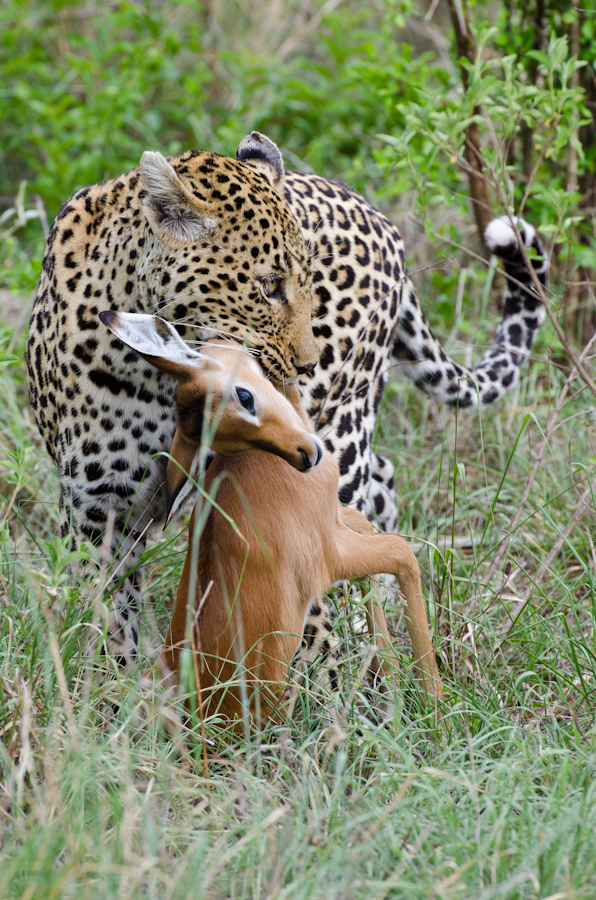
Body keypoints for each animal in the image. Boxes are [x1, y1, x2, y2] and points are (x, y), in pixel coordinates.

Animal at [26, 130, 549, 674]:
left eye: (304, 281)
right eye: (269, 285)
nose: (307, 362)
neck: (153, 374)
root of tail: (379, 218)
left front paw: (330, 685)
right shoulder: (97, 507)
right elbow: (106, 616)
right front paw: (112, 688)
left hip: (342, 428)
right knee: (380, 485)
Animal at [99, 311, 443, 723]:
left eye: (245, 395)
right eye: (230, 439)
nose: (305, 456)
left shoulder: (339, 520)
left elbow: (372, 537)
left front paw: (391, 677)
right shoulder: (333, 556)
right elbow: (403, 554)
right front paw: (434, 704)